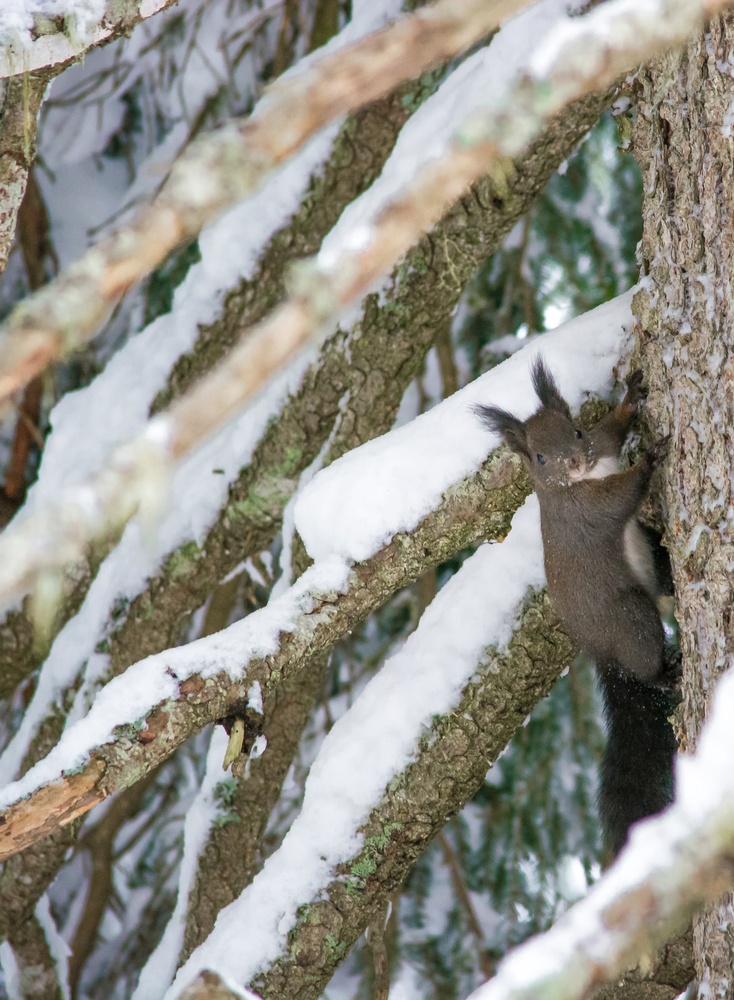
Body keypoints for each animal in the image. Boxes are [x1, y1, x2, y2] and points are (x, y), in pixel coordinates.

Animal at [478, 356, 680, 856]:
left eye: (574, 430)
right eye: (539, 458)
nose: (573, 459)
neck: (585, 476)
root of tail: (603, 653)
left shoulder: (600, 445)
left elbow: (611, 429)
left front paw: (632, 396)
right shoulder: (587, 509)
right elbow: (622, 497)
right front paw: (651, 458)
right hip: (630, 618)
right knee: (645, 660)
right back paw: (663, 672)